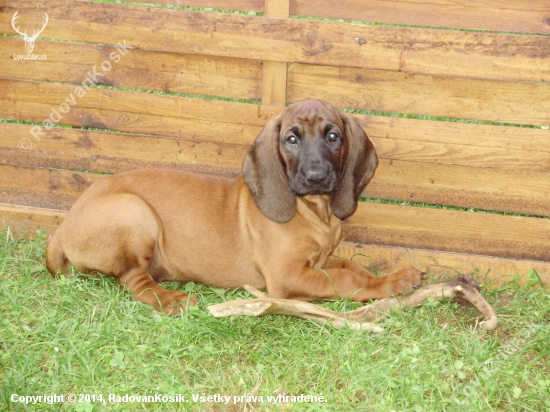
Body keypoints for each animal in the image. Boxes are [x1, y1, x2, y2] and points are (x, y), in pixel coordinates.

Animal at [47, 98, 424, 314]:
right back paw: (172, 300)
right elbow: (345, 280)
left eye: (333, 136)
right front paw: (390, 285)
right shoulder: (286, 276)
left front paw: (392, 274)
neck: (314, 210)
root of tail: (62, 227)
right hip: (134, 211)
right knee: (134, 281)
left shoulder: (319, 259)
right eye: (291, 139)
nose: (316, 176)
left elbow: (353, 267)